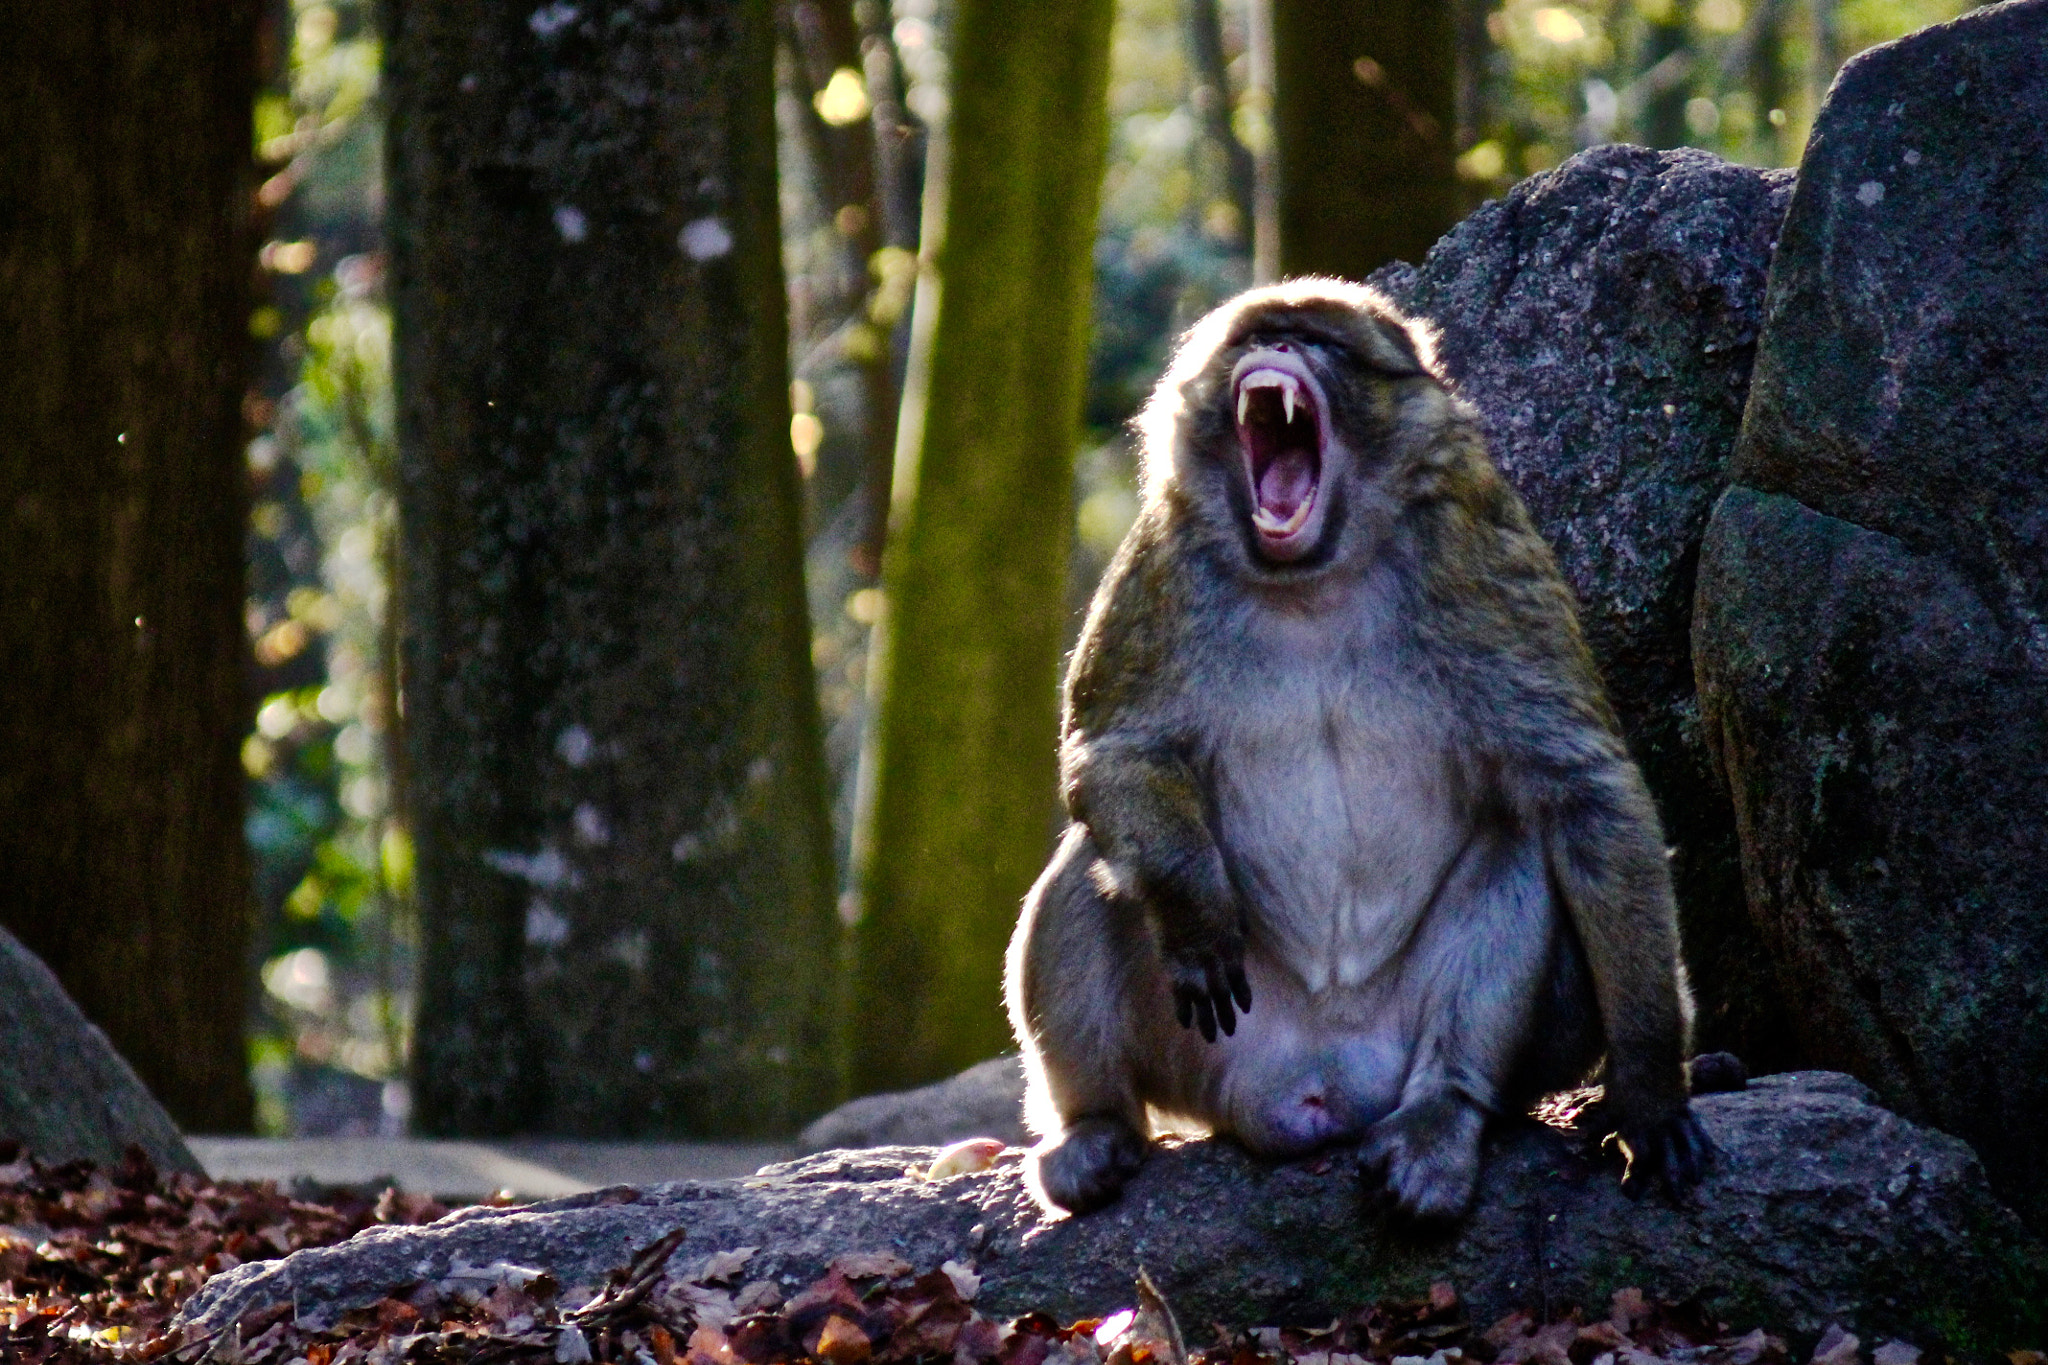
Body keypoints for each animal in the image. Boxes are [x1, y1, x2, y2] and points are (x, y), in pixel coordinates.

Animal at [999, 274, 1703, 1219]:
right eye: (1257, 336)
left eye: (1319, 343)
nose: (1279, 351)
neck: (1315, 577)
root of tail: (1319, 1085)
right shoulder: (1164, 560)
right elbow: (1110, 752)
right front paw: (1197, 905)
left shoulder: (1479, 548)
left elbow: (1581, 786)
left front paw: (1652, 1089)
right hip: (1203, 1058)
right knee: (1093, 862)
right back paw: (1094, 1128)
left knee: (1522, 842)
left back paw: (1443, 1117)